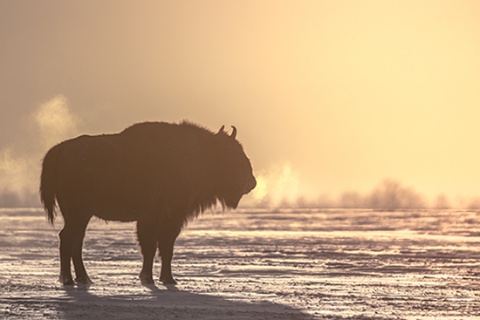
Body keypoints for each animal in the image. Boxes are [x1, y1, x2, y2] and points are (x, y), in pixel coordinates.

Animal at [39, 120, 256, 284]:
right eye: (232, 154)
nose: (251, 182)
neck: (200, 153)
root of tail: (60, 149)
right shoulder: (169, 218)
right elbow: (163, 247)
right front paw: (166, 279)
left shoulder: (151, 219)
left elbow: (151, 248)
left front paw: (148, 278)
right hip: (78, 214)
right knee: (68, 239)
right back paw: (68, 279)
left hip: (80, 215)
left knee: (76, 241)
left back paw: (84, 279)